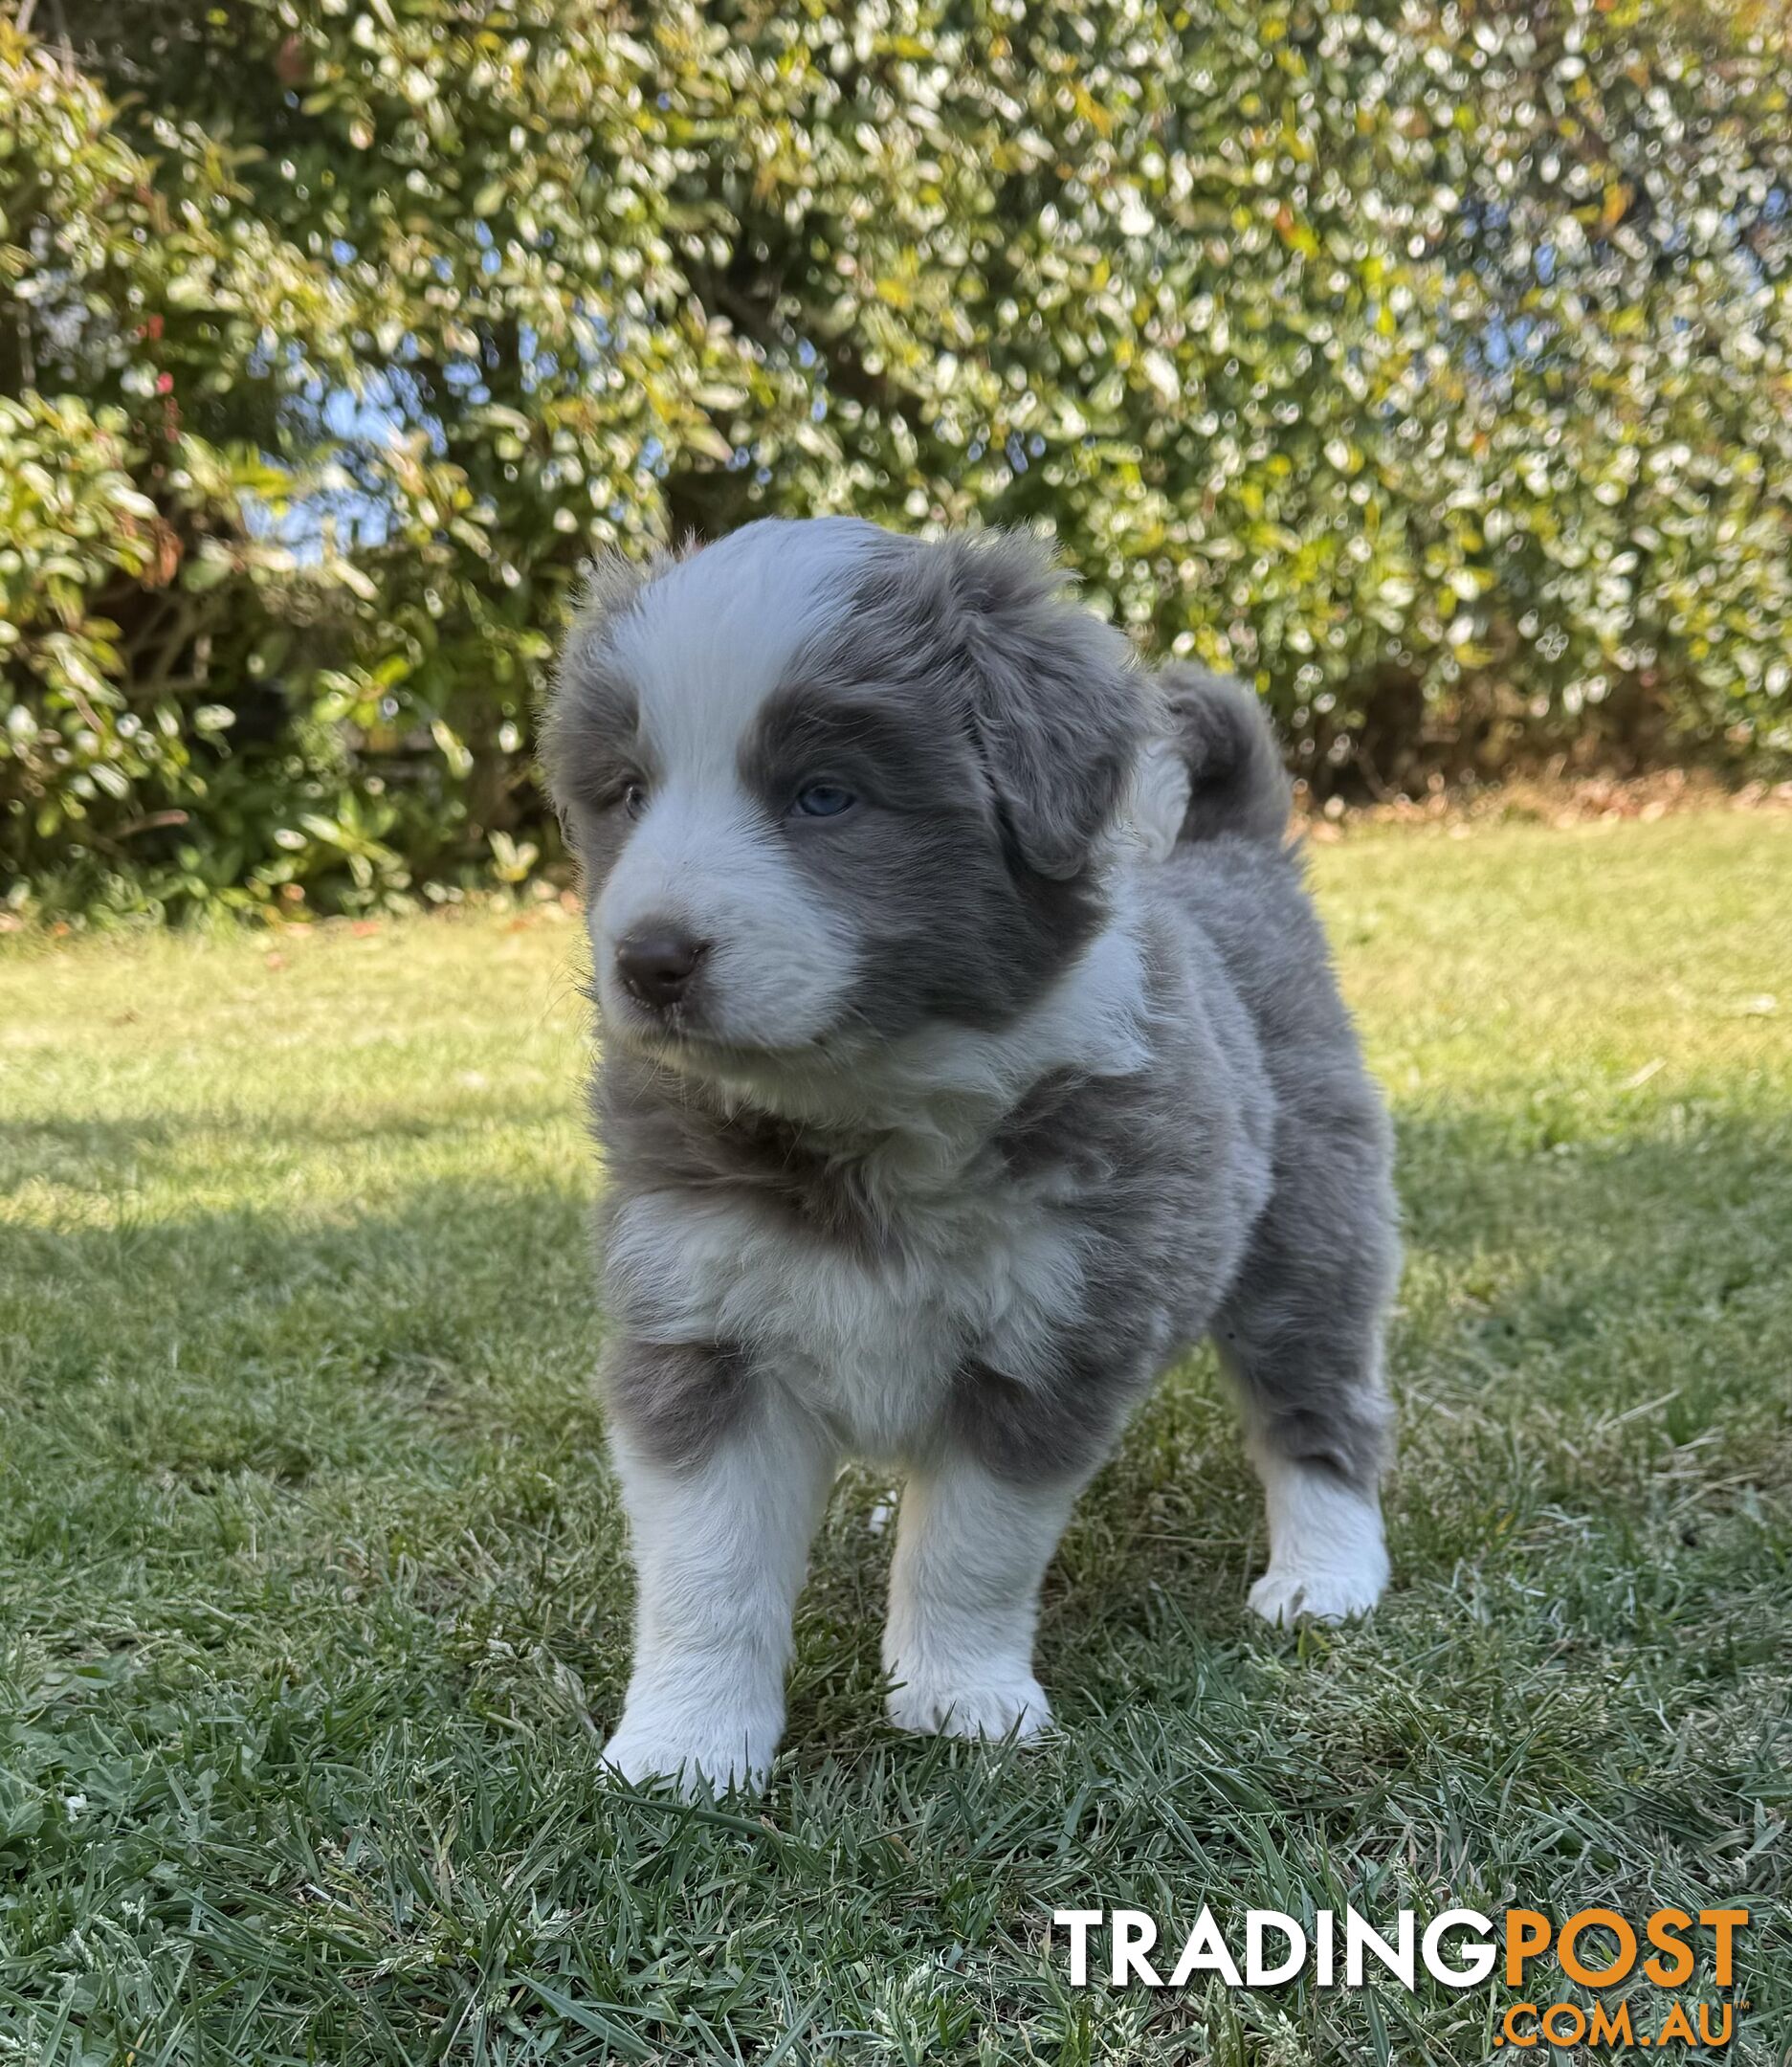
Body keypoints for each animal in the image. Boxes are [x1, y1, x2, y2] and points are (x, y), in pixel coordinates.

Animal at [545, 517, 1405, 1793]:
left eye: (823, 795)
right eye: (626, 792)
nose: (647, 961)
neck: (865, 1114)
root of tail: (1233, 856)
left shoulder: (1054, 1339)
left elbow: (968, 1548)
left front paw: (959, 1704)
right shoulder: (697, 1326)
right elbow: (709, 1574)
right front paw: (684, 1748)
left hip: (1311, 1222)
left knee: (1318, 1402)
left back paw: (1324, 1577)